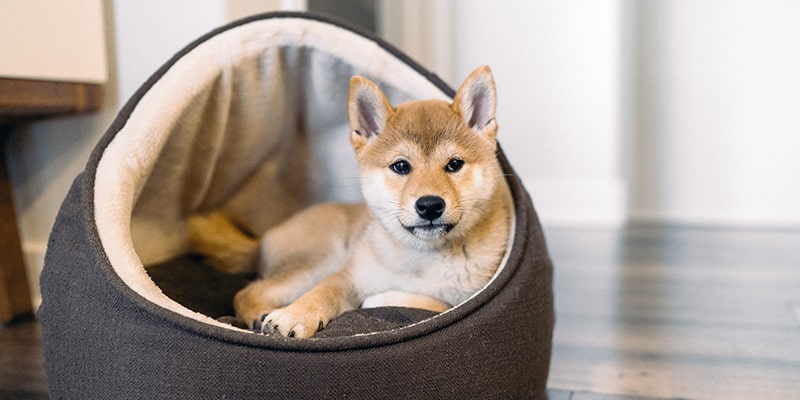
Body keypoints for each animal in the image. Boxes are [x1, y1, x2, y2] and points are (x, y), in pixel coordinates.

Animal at [188, 66, 512, 338]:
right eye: (401, 166)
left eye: (455, 164)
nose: (430, 205)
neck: (420, 257)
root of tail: (266, 236)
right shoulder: (346, 275)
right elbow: (321, 294)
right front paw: (295, 315)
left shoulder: (466, 298)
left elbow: (435, 304)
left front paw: (380, 298)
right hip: (321, 257)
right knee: (248, 292)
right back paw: (260, 313)